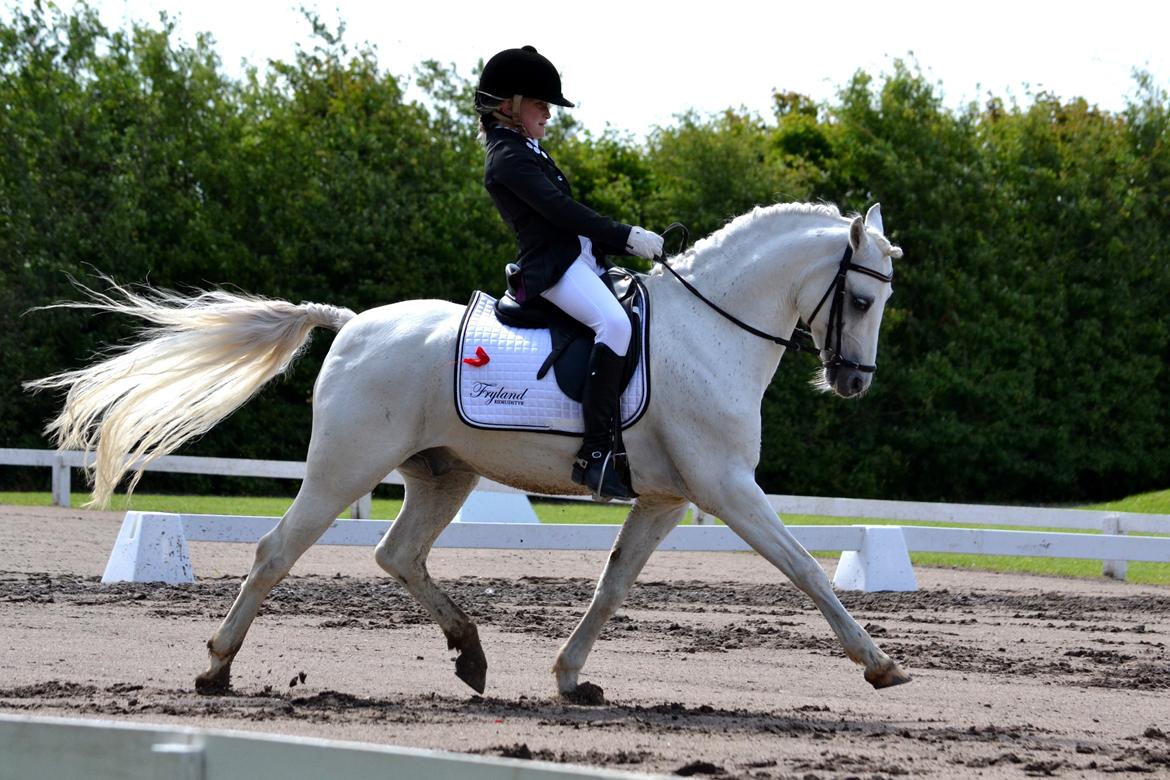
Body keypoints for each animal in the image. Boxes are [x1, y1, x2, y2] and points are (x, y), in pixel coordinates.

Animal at [27, 201, 910, 700]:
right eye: (864, 299)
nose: (855, 381)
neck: (710, 331)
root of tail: (351, 323)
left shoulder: (666, 499)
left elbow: (612, 585)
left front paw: (570, 678)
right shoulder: (727, 487)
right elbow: (803, 568)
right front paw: (878, 663)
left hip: (440, 476)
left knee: (397, 554)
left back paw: (470, 653)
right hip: (344, 467)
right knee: (277, 552)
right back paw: (216, 670)